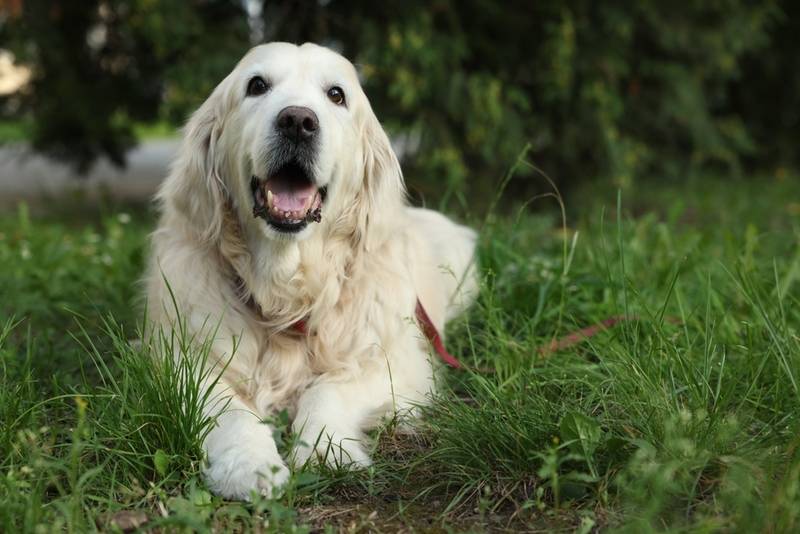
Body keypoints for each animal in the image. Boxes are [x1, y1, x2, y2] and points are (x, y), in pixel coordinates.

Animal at [145, 43, 476, 502]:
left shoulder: (395, 364)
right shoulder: (179, 362)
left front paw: (326, 448)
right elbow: (227, 409)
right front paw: (249, 464)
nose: (298, 122)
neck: (287, 290)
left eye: (336, 95)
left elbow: (328, 390)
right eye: (257, 85)